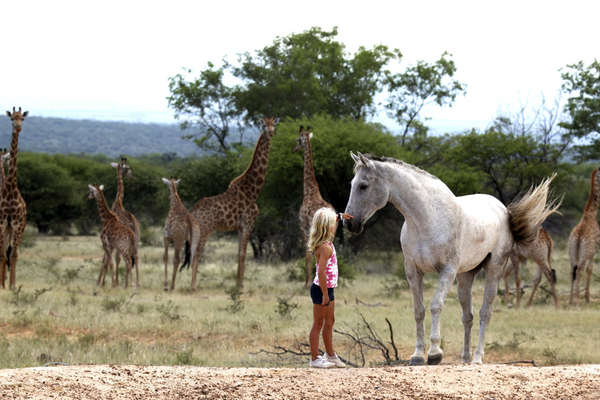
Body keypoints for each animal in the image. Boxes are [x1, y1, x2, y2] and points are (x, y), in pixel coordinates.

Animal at [191, 115, 278, 288]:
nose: (271, 132)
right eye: (264, 125)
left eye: (274, 124)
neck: (253, 191)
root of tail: (193, 211)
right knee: (197, 253)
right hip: (206, 228)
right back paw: (192, 286)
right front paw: (240, 286)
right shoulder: (248, 223)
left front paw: (238, 284)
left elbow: (239, 253)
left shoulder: (239, 227)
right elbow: (243, 253)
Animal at [294, 126, 336, 286]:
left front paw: (306, 282)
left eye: (298, 140)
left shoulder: (304, 227)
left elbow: (307, 253)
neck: (309, 191)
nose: (294, 148)